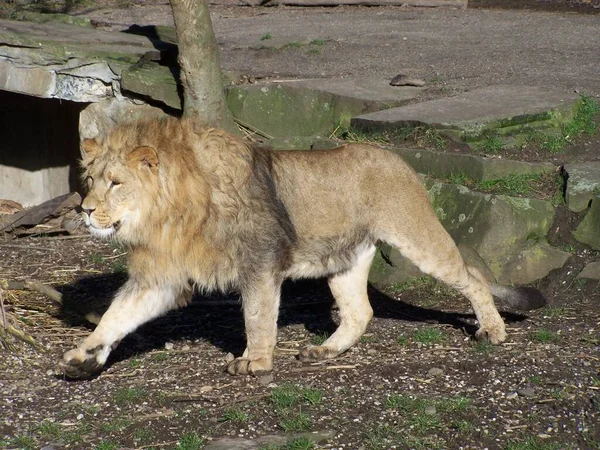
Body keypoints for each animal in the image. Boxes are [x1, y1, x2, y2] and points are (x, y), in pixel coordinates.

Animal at [58, 117, 548, 380]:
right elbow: (117, 316)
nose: (84, 210)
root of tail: (396, 157)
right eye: (90, 180)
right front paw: (84, 356)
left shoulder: (259, 264)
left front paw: (254, 362)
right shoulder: (160, 277)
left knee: (473, 276)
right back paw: (323, 352)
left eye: (115, 183)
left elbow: (258, 318)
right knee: (360, 313)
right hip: (345, 260)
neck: (171, 215)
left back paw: (493, 331)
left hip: (418, 236)